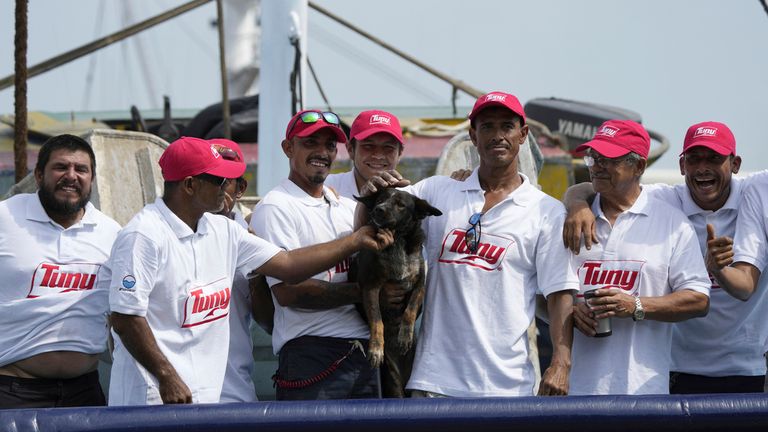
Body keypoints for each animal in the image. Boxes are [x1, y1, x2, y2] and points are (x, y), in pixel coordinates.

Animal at [352, 187, 440, 396]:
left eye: (401, 204)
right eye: (380, 199)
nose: (378, 209)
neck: (397, 239)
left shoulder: (419, 285)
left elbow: (410, 310)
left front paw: (404, 337)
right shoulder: (370, 287)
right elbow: (377, 321)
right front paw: (376, 349)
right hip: (393, 385)